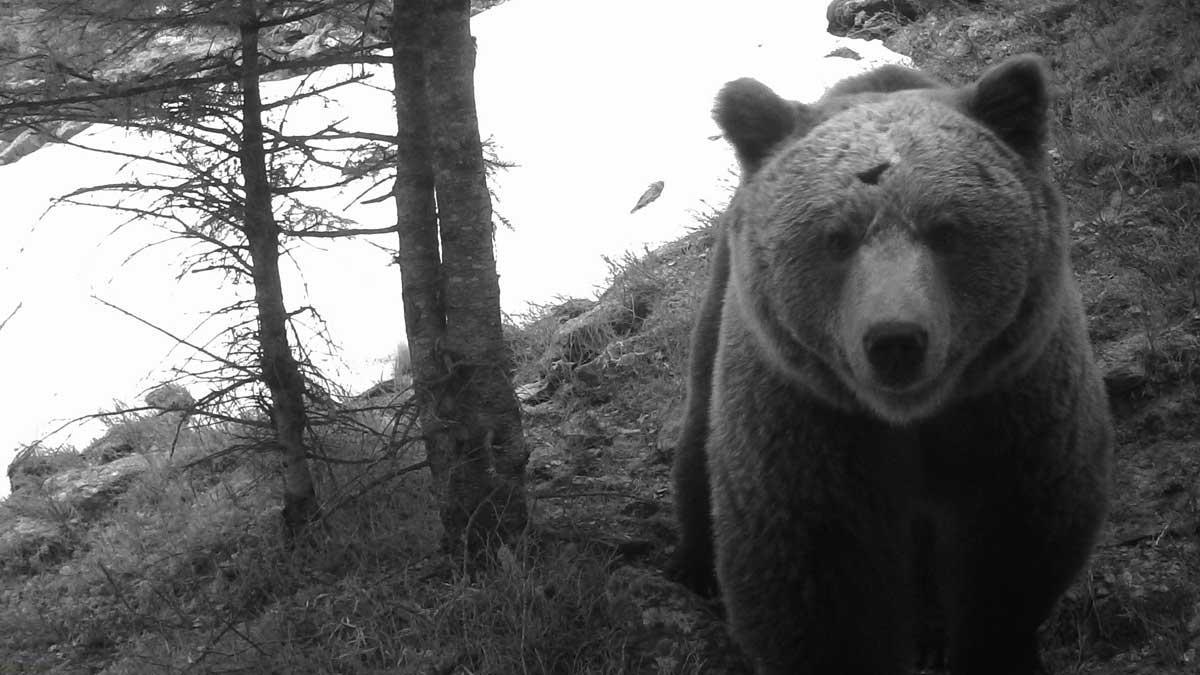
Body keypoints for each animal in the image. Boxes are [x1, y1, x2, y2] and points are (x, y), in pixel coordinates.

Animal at [672, 56, 1108, 672]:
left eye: (946, 229)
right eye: (836, 238)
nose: (896, 340)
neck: (914, 420)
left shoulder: (1013, 405)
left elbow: (1012, 552)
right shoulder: (811, 425)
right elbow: (815, 584)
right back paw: (693, 565)